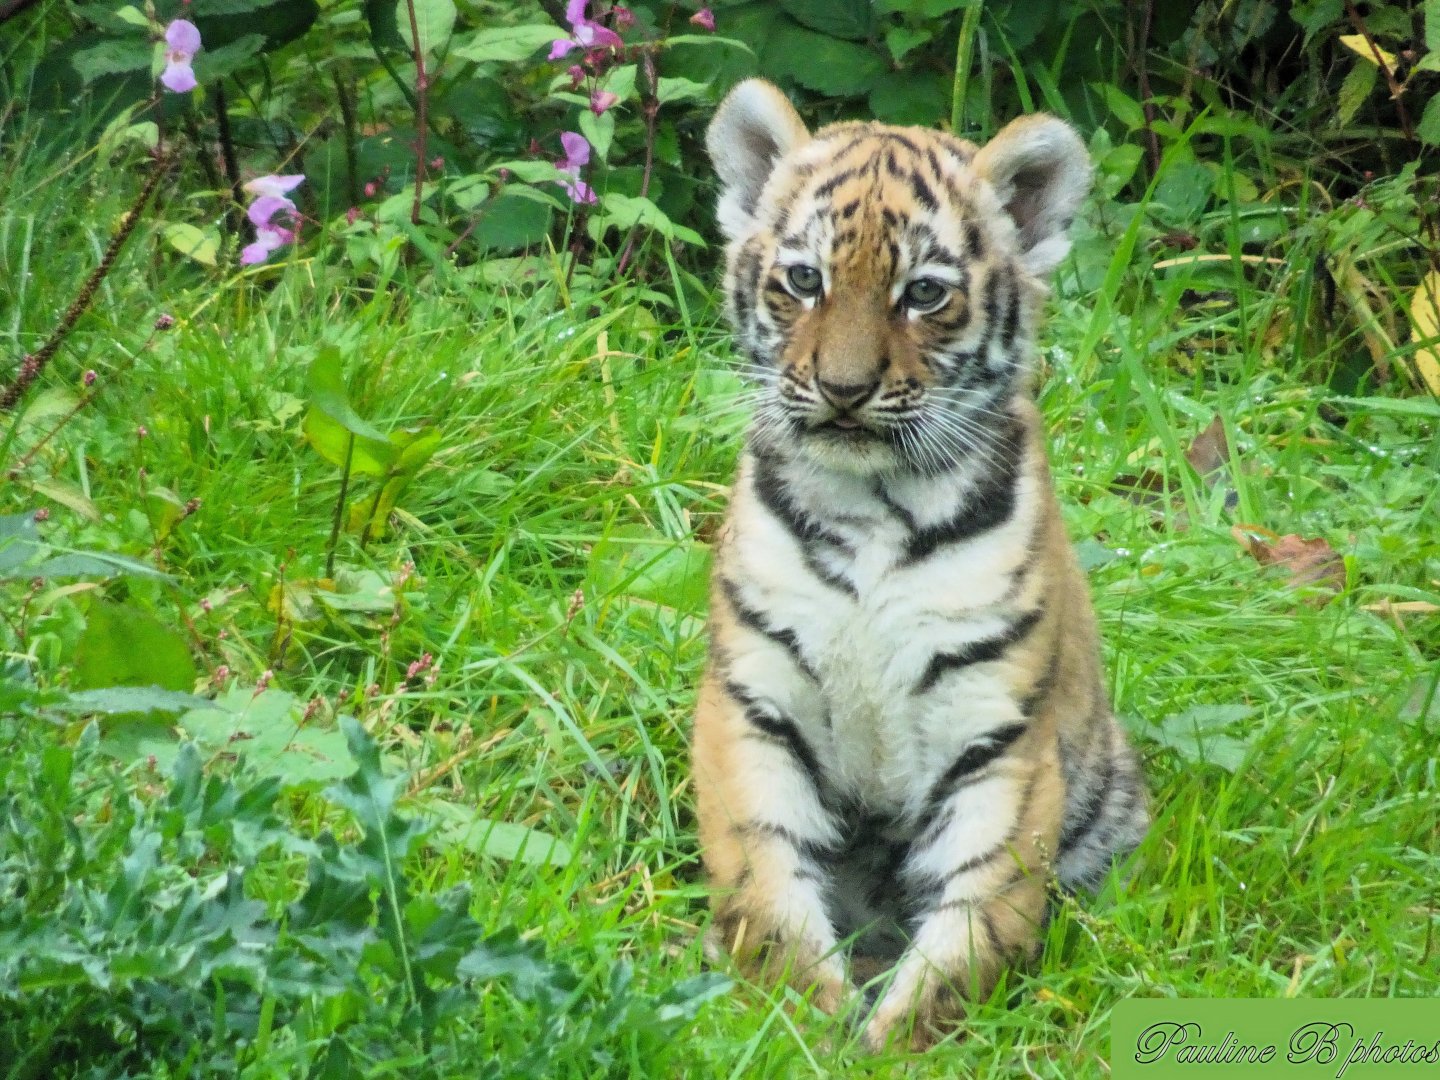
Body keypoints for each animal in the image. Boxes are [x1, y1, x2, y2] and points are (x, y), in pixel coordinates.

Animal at [691, 78, 1149, 1051]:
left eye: (925, 294)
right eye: (805, 279)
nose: (844, 390)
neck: (871, 505)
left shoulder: (999, 733)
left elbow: (983, 910)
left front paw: (904, 1043)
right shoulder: (753, 702)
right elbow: (764, 883)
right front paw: (801, 1025)